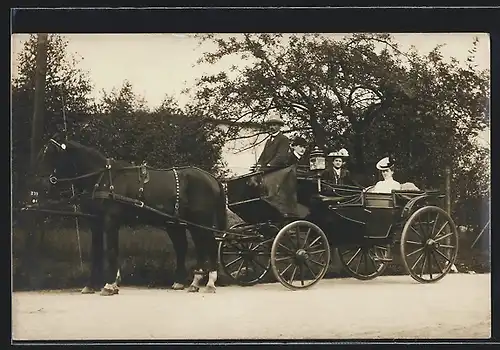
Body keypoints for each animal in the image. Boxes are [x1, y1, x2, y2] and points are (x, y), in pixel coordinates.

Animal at [30, 135, 227, 294]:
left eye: (49, 156)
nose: (38, 185)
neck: (102, 177)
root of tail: (212, 178)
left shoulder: (111, 220)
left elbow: (111, 250)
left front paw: (109, 286)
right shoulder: (96, 222)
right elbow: (96, 251)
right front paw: (91, 285)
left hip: (201, 220)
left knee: (209, 244)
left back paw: (209, 283)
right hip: (178, 223)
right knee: (189, 246)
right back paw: (189, 283)